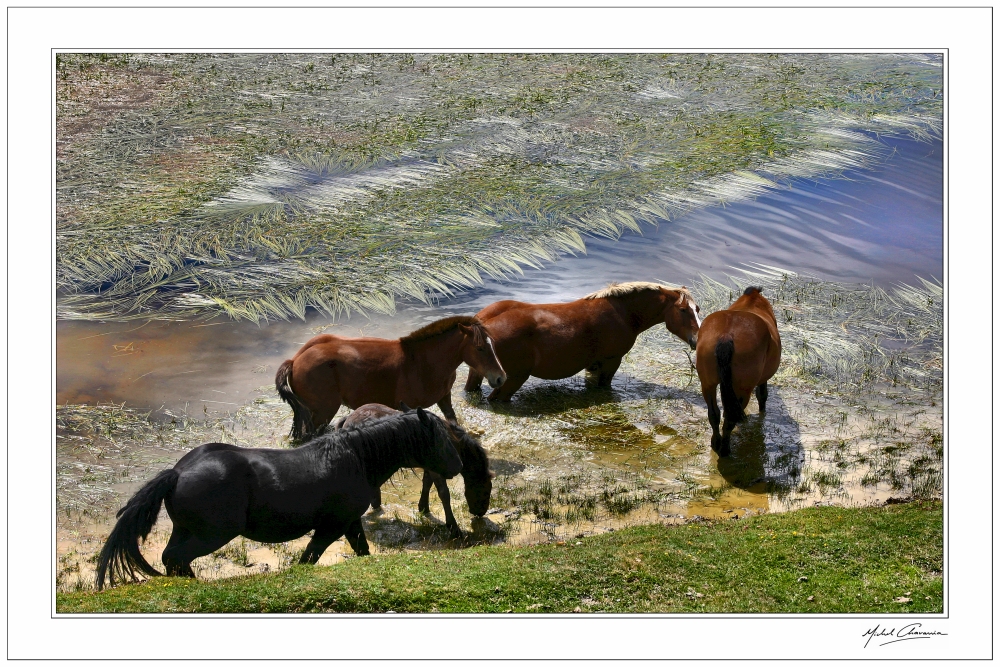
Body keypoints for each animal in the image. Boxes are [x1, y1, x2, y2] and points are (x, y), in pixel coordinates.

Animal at [93, 408, 460, 588]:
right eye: (440, 437)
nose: (455, 468)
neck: (355, 457)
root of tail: (178, 472)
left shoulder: (350, 523)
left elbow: (362, 551)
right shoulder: (330, 527)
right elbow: (309, 558)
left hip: (187, 530)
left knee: (172, 560)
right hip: (212, 534)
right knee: (176, 559)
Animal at [276, 316, 504, 440]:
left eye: (492, 344)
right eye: (480, 348)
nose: (501, 378)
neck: (422, 361)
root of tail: (295, 360)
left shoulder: (444, 397)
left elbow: (452, 420)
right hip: (323, 412)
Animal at [334, 402, 494, 536]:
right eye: (486, 491)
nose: (479, 513)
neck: (451, 442)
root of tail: (348, 417)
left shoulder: (431, 467)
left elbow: (427, 483)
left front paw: (423, 507)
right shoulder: (437, 470)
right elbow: (444, 494)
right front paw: (453, 527)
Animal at [462, 282, 704, 402]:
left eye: (698, 309)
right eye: (683, 310)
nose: (697, 339)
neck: (623, 312)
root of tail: (482, 323)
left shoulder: (593, 364)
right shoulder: (611, 361)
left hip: (480, 373)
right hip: (513, 379)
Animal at [696, 288, 780, 460]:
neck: (751, 303)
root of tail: (726, 335)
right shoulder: (762, 380)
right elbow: (762, 395)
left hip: (707, 384)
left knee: (714, 415)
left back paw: (716, 442)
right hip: (742, 390)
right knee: (730, 419)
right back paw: (725, 449)